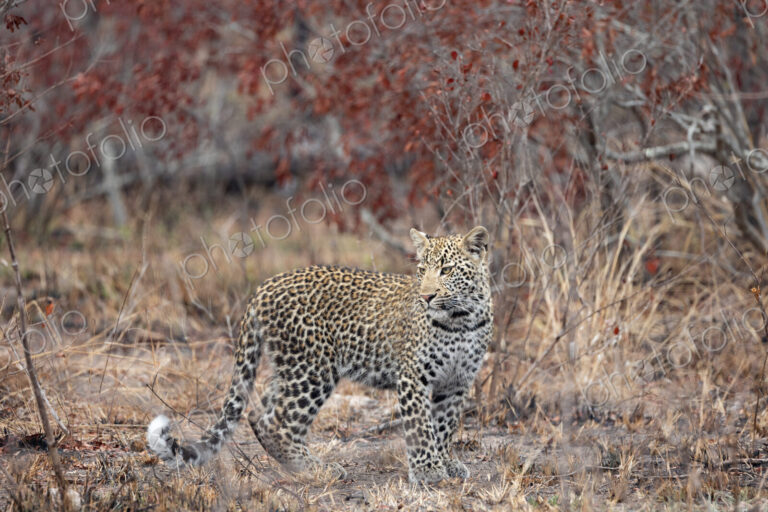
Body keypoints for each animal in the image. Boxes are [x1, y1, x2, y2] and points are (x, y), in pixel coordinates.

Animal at [147, 226, 492, 483]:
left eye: (446, 270)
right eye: (422, 270)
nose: (426, 296)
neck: (462, 319)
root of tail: (264, 287)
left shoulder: (457, 381)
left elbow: (445, 425)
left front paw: (446, 463)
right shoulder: (414, 377)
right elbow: (422, 426)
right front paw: (427, 470)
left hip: (292, 366)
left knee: (262, 411)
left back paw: (297, 464)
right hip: (312, 369)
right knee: (277, 420)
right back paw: (314, 468)